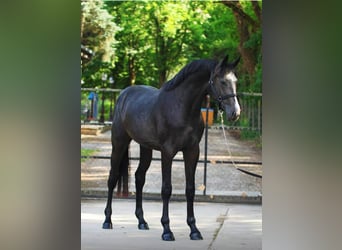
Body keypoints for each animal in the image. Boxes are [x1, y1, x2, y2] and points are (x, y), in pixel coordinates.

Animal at [101, 54, 240, 240]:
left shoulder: (192, 151)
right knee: (112, 178)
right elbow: (166, 189)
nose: (235, 113)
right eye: (223, 81)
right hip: (119, 143)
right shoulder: (167, 152)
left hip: (146, 148)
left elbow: (190, 189)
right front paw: (167, 230)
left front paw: (194, 230)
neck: (181, 108)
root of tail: (124, 94)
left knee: (139, 178)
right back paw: (107, 220)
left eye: (235, 81)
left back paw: (142, 221)